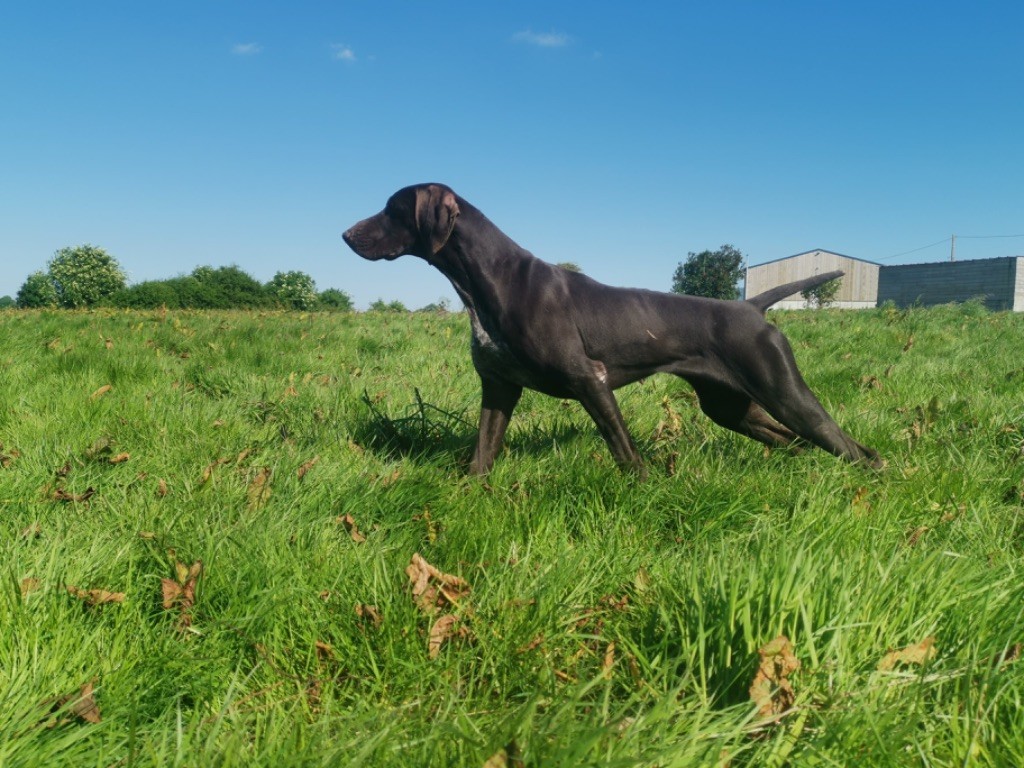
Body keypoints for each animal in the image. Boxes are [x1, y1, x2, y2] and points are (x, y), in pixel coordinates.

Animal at [344, 185, 880, 475]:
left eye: (392, 208)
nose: (346, 234)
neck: (488, 282)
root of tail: (750, 306)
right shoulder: (498, 387)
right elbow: (482, 450)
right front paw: (472, 488)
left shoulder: (590, 380)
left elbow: (624, 450)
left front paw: (644, 488)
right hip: (732, 407)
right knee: (795, 442)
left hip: (786, 393)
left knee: (855, 448)